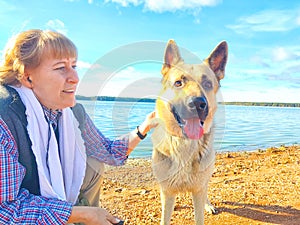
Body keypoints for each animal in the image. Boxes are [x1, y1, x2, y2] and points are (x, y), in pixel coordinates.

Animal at [151, 39, 229, 224]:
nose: (198, 104)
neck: (183, 144)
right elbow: (165, 217)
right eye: (178, 83)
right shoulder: (167, 191)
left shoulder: (198, 190)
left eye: (207, 84)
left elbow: (199, 216)